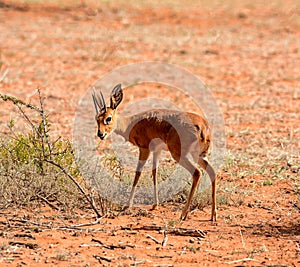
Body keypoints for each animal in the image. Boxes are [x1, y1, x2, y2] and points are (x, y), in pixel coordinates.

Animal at [92, 84, 217, 222]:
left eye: (108, 118)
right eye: (97, 118)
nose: (100, 134)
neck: (131, 123)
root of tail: (203, 127)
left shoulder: (144, 149)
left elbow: (138, 174)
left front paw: (127, 205)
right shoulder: (157, 150)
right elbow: (154, 172)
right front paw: (155, 204)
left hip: (178, 155)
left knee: (197, 173)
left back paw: (183, 214)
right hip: (199, 155)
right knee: (212, 172)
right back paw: (213, 215)